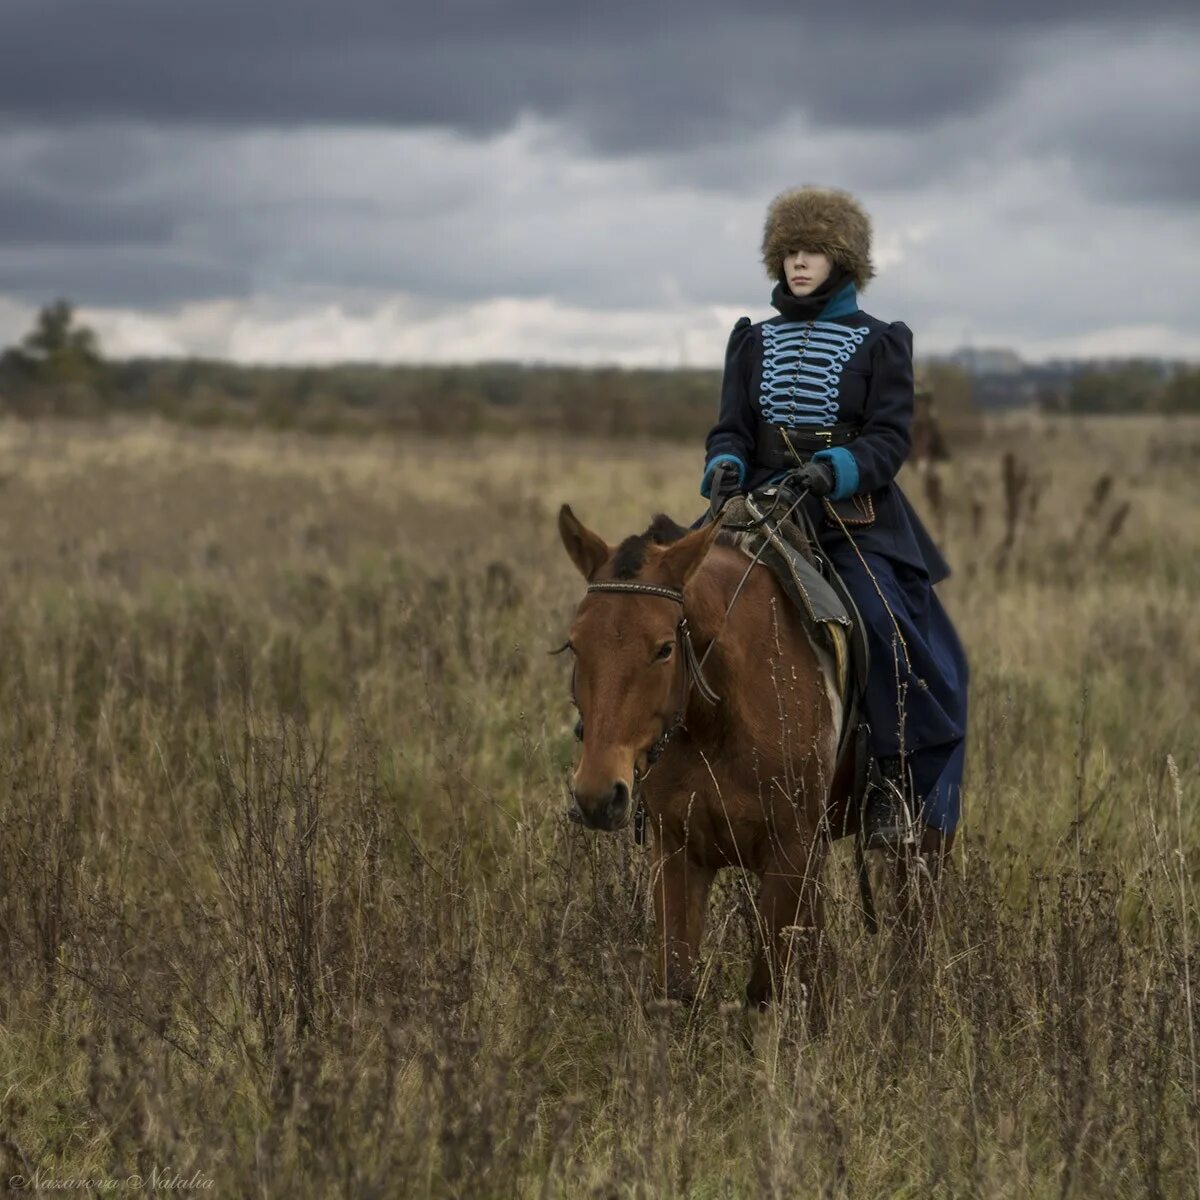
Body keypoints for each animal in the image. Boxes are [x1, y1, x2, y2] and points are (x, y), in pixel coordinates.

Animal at [556, 501, 950, 1017]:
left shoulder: (791, 854)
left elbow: (766, 991)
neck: (717, 717)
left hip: (921, 837)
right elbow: (677, 987)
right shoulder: (679, 852)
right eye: (575, 644)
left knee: (912, 933)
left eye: (664, 648)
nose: (598, 797)